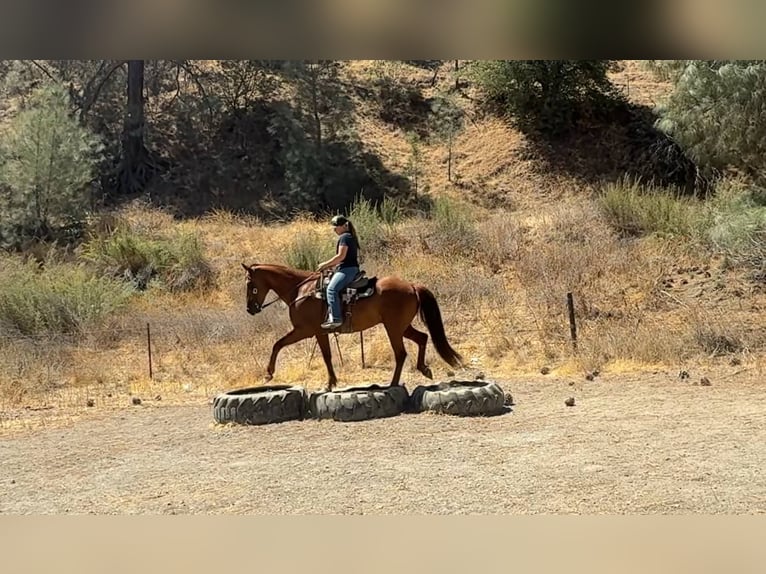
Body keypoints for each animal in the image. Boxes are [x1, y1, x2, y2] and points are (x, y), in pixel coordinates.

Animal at [241, 262, 464, 391]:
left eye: (250, 284)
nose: (250, 309)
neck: (300, 290)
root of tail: (411, 285)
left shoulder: (306, 331)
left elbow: (279, 345)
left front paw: (269, 373)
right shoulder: (317, 333)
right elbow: (326, 356)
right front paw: (331, 382)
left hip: (393, 328)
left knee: (401, 353)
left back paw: (392, 384)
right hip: (402, 327)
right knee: (422, 338)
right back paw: (423, 369)